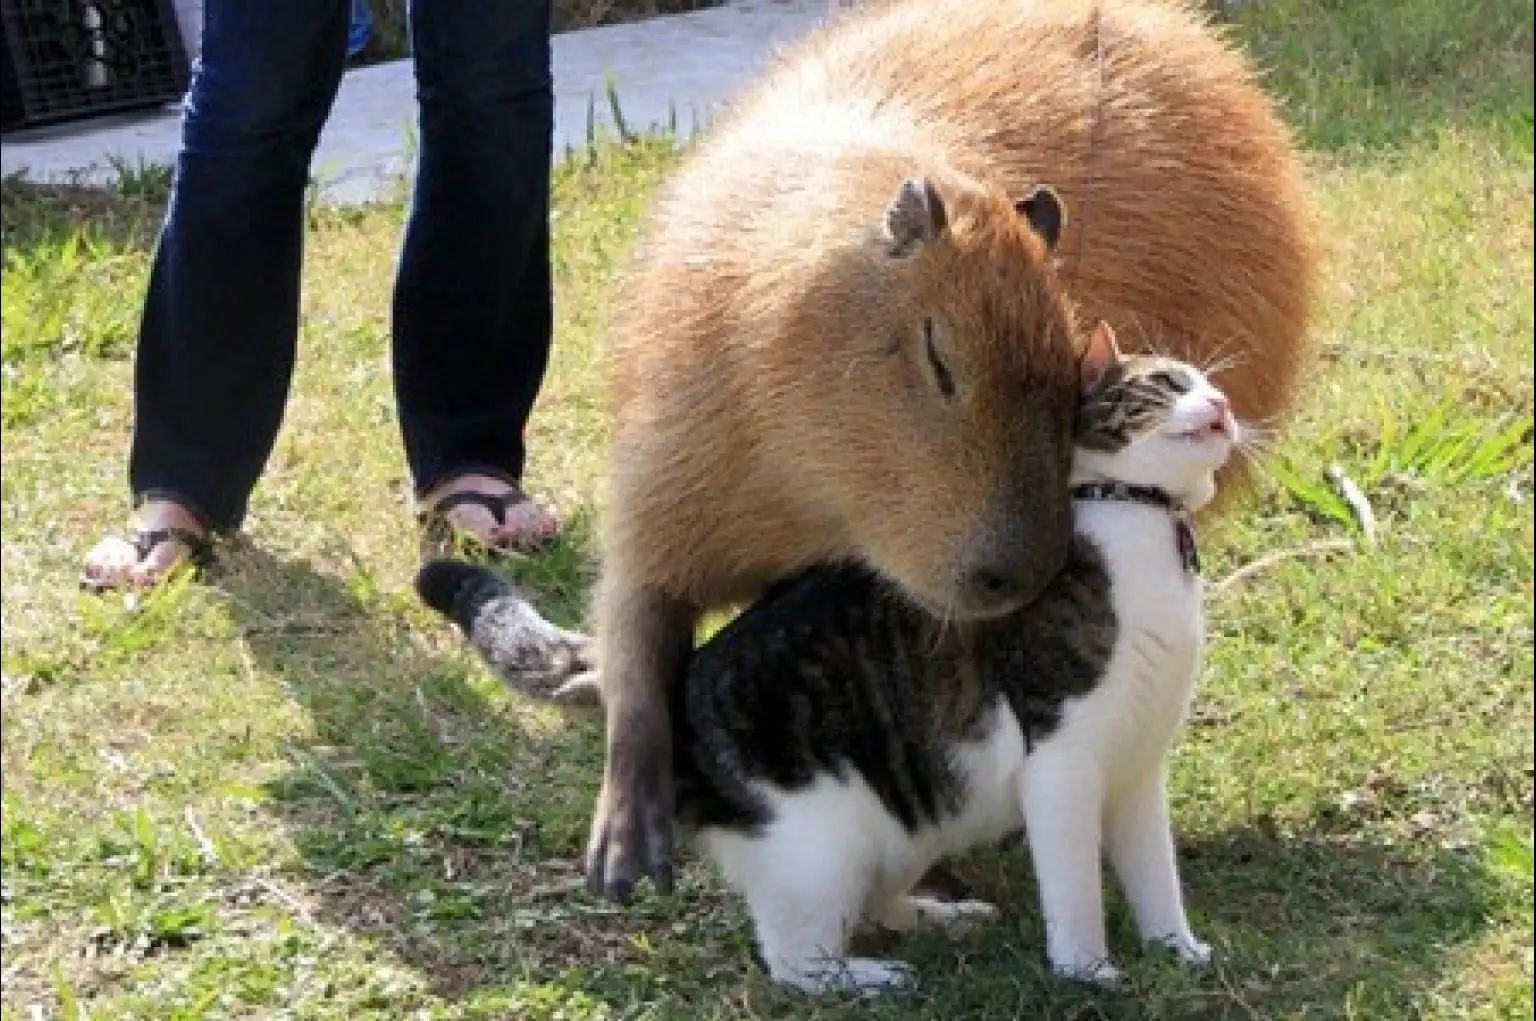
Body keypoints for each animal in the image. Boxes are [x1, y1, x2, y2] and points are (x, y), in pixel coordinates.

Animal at [414, 322, 1241, 988]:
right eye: (1171, 383)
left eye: (1211, 384)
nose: (1224, 406)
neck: (1139, 526)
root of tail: (671, 684)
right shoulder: (1063, 764)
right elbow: (1074, 889)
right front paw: (1088, 971)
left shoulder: (1135, 768)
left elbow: (1155, 873)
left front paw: (1178, 949)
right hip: (821, 847)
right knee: (795, 961)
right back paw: (872, 977)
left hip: (907, 824)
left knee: (876, 896)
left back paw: (941, 917)